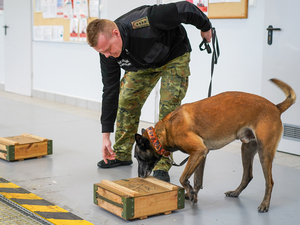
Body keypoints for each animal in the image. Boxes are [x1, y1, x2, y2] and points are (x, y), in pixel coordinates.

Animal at [135, 78, 296, 212]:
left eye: (139, 157)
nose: (139, 176)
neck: (164, 131)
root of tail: (275, 107)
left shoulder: (199, 151)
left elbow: (182, 177)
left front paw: (191, 193)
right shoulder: (201, 155)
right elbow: (197, 180)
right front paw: (192, 194)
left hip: (264, 153)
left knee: (270, 182)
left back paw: (264, 205)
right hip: (247, 149)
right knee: (247, 176)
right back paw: (235, 192)